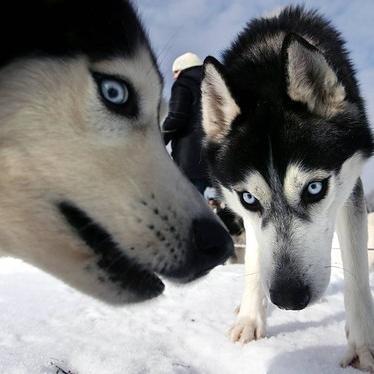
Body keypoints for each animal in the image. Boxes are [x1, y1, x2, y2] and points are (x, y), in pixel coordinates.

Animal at [203, 5, 374, 372]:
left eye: (314, 188)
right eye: (249, 198)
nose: (288, 298)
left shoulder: (349, 190)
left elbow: (355, 272)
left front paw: (364, 344)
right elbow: (255, 256)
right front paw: (250, 318)